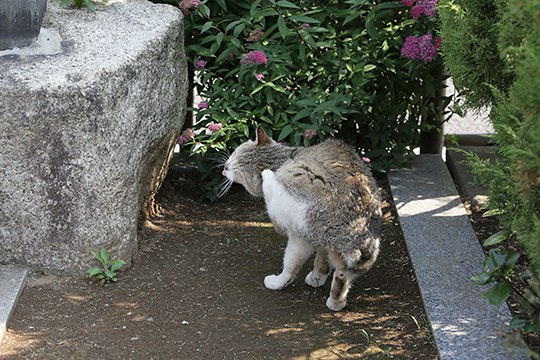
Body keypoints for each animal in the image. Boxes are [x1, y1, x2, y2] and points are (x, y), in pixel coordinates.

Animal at [221, 126, 382, 310]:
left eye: (233, 163)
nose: (224, 167)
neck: (283, 159)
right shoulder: (315, 238)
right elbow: (322, 254)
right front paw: (319, 274)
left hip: (293, 227)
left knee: (289, 267)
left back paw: (276, 282)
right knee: (341, 274)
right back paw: (336, 300)